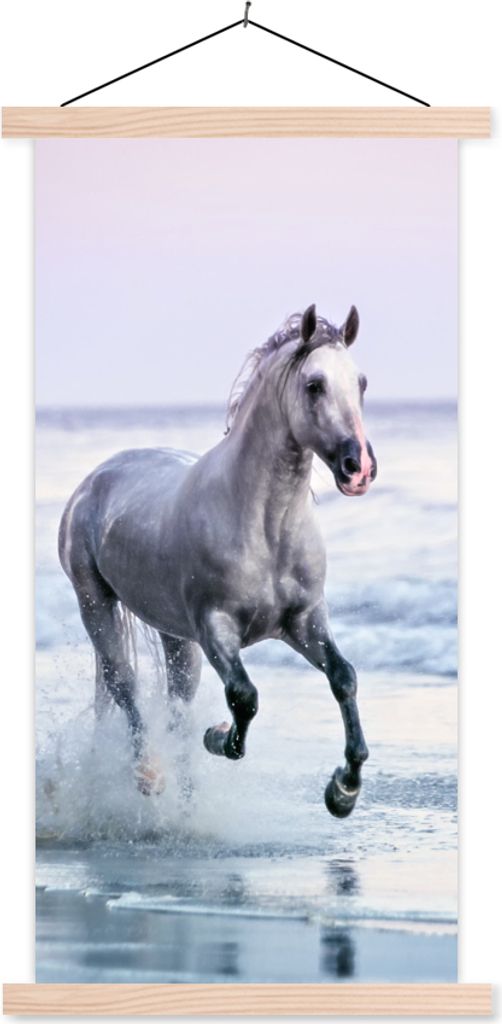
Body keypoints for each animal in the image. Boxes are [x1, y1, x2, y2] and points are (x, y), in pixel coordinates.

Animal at [59, 304, 377, 818]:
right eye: (314, 384)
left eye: (361, 382)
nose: (359, 468)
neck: (265, 526)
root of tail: (95, 479)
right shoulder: (215, 628)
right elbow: (243, 698)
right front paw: (219, 736)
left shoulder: (304, 621)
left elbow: (343, 678)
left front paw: (343, 791)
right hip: (96, 604)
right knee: (124, 685)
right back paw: (148, 774)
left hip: (173, 635)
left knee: (176, 704)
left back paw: (187, 804)